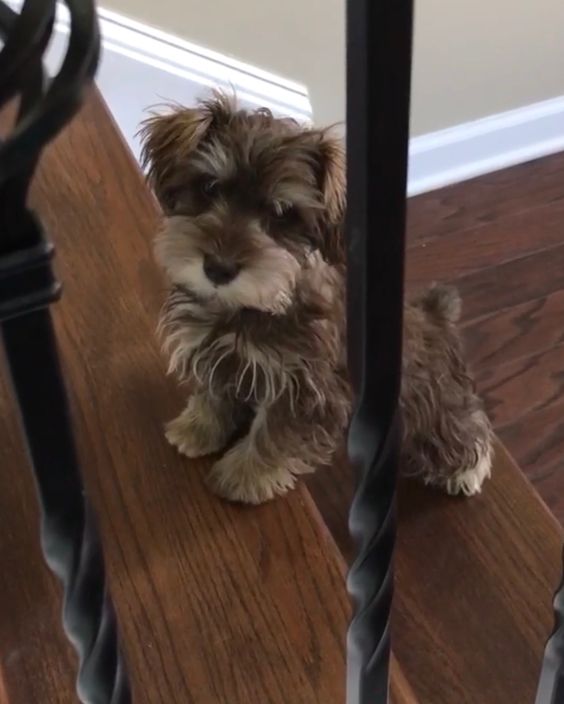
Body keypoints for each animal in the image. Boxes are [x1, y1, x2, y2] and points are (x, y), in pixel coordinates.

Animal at [141, 93, 494, 504]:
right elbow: (211, 395)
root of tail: (436, 315)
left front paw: (243, 477)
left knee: (464, 425)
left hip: (426, 402)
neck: (255, 305)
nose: (218, 268)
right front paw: (195, 429)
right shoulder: (214, 355)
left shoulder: (304, 390)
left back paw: (468, 469)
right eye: (210, 186)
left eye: (281, 212)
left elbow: (273, 436)